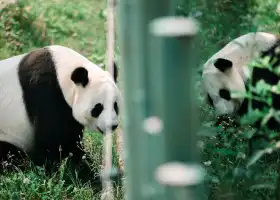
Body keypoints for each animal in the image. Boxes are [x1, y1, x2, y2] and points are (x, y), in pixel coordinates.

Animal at [0, 45, 121, 184]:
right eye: (98, 108)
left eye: (115, 105)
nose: (112, 125)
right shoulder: (45, 93)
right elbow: (54, 141)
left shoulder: (68, 110)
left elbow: (72, 139)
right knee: (9, 154)